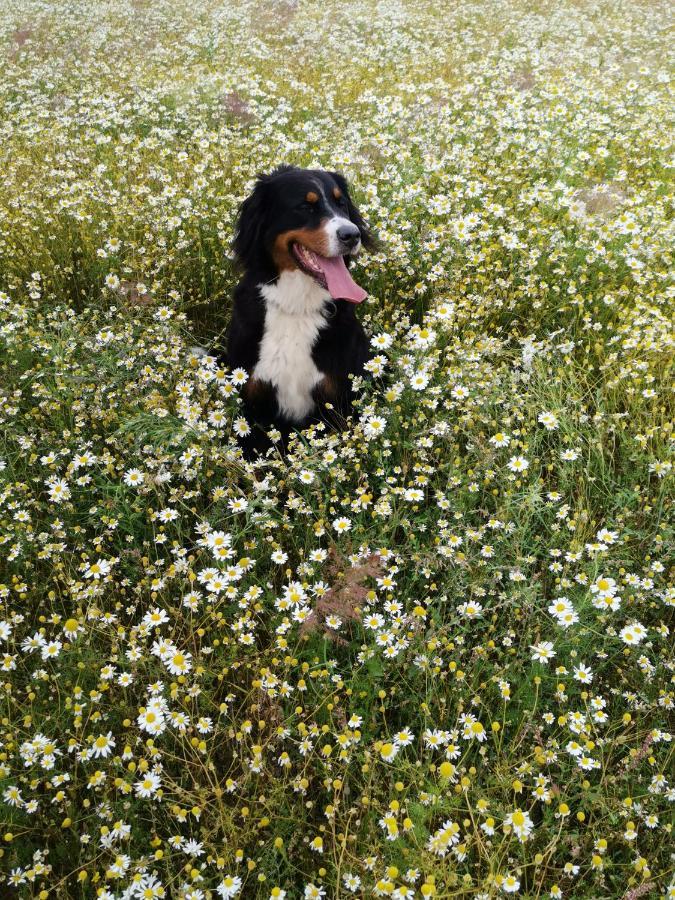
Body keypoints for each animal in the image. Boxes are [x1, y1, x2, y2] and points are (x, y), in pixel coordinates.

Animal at [226, 163, 374, 458]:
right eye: (306, 207)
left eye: (341, 203)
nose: (352, 235)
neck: (296, 308)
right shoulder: (252, 406)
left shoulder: (338, 401)